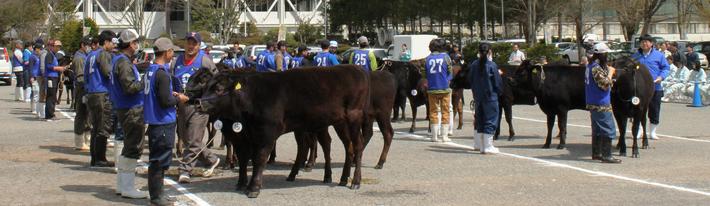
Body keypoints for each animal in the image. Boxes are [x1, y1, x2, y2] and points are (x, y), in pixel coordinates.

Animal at [197, 66, 370, 198]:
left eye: (219, 89)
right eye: (205, 87)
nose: (199, 103)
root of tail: (355, 69)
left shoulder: (266, 134)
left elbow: (259, 159)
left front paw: (253, 188)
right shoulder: (244, 137)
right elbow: (244, 159)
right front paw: (241, 183)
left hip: (353, 117)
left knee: (357, 146)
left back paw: (355, 182)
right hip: (337, 122)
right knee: (346, 147)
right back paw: (341, 178)